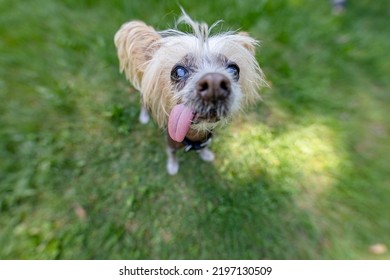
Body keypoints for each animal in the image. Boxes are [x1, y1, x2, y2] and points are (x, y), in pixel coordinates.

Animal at [113, 12, 266, 176]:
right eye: (179, 71)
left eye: (233, 70)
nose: (214, 83)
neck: (194, 137)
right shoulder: (171, 145)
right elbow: (172, 155)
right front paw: (172, 166)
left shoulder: (205, 141)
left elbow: (204, 149)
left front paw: (206, 155)